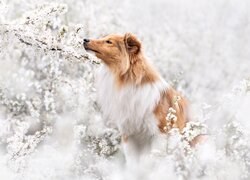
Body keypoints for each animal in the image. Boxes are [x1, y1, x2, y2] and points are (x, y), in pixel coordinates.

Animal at [84, 33, 191, 163]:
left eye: (109, 42)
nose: (85, 39)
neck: (126, 79)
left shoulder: (160, 133)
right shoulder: (129, 134)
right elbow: (132, 162)